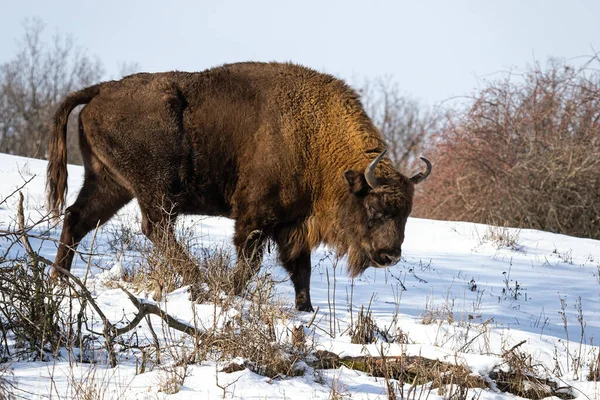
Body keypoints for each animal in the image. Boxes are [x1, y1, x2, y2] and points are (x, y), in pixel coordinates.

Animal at [48, 61, 432, 312]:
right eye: (375, 208)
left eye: (407, 214)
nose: (390, 256)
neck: (315, 140)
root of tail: (101, 89)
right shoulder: (255, 218)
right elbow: (249, 263)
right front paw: (231, 295)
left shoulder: (292, 225)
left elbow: (301, 271)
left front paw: (306, 310)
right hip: (155, 190)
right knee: (156, 227)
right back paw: (197, 279)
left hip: (109, 183)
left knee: (77, 218)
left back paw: (60, 280)